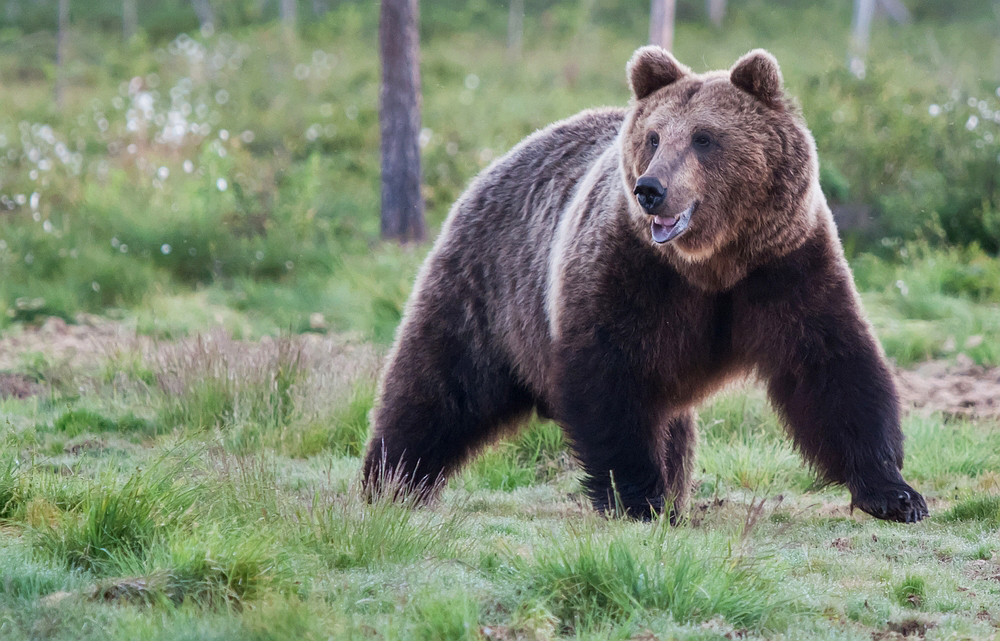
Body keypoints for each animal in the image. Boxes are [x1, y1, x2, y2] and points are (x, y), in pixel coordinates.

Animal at [362, 47, 928, 524]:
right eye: (654, 137)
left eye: (704, 137)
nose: (650, 189)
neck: (711, 262)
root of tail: (494, 165)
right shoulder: (630, 271)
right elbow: (612, 375)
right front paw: (640, 499)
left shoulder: (783, 265)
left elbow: (832, 365)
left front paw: (895, 494)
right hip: (490, 286)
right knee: (441, 383)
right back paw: (390, 482)